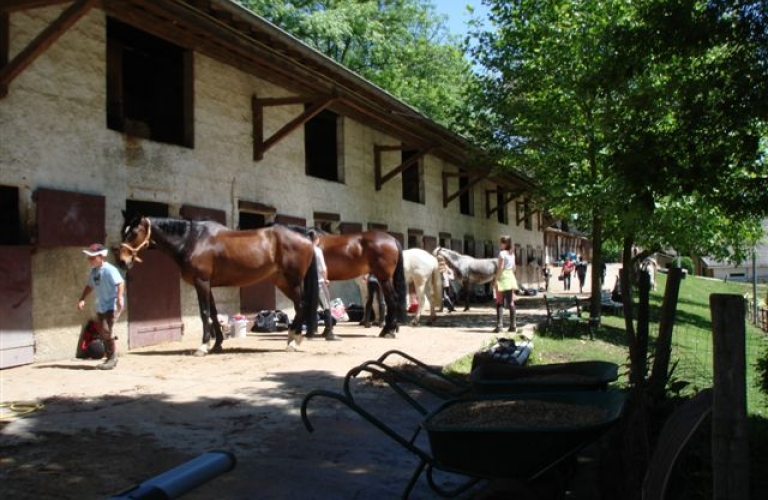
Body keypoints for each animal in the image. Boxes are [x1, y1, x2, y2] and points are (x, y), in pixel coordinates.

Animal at [118, 217, 316, 354]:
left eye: (133, 233)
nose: (122, 261)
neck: (193, 240)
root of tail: (305, 237)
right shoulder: (208, 285)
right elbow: (213, 313)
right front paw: (217, 344)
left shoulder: (201, 283)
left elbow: (204, 313)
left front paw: (203, 346)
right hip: (281, 281)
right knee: (300, 306)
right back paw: (293, 338)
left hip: (293, 280)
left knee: (301, 305)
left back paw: (293, 341)